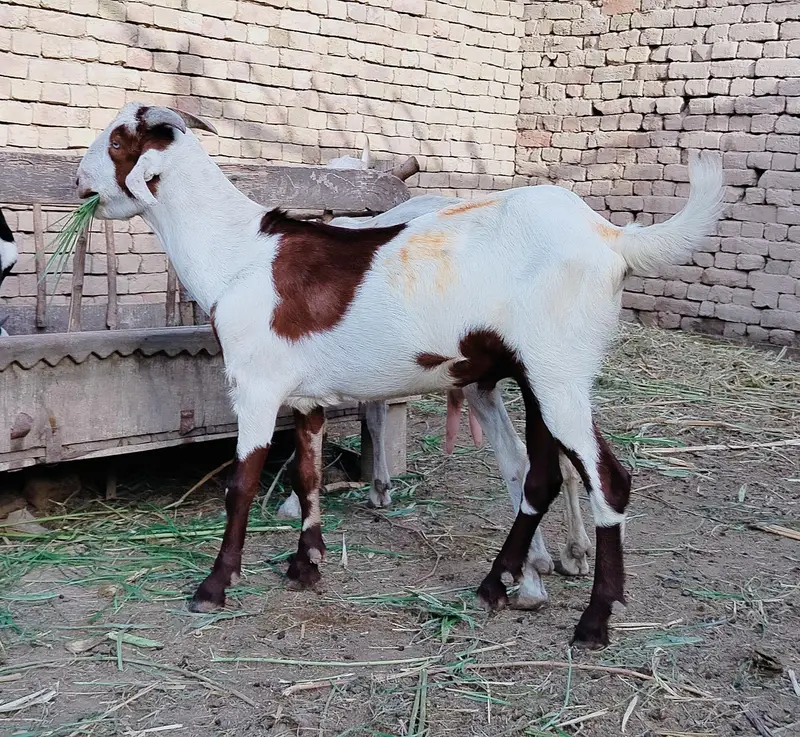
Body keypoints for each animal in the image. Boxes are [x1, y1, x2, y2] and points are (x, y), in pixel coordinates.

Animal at [77, 103, 724, 647]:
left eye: (117, 140)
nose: (78, 184)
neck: (235, 252)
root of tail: (611, 237)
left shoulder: (255, 388)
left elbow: (241, 485)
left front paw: (213, 588)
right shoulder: (306, 397)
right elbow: (308, 476)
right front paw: (305, 567)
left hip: (559, 373)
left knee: (607, 480)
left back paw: (592, 621)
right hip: (538, 378)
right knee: (538, 476)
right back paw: (499, 584)